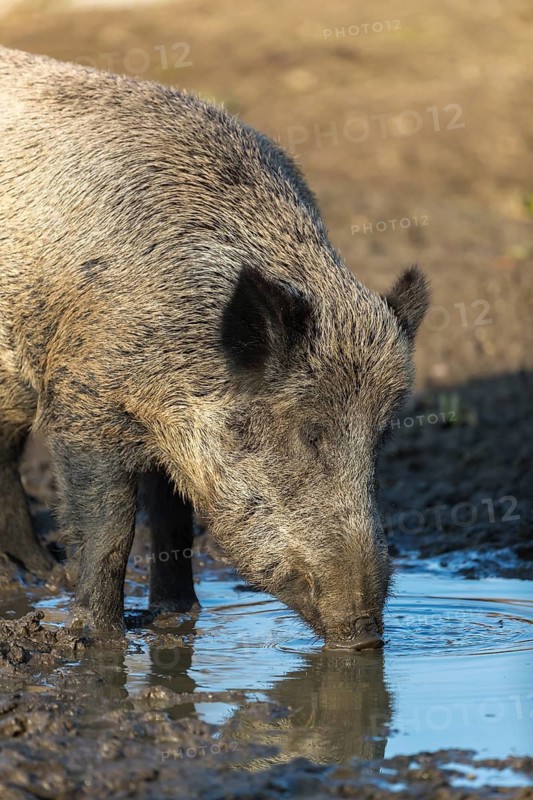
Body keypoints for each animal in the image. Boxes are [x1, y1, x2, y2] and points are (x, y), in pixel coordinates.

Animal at [0, 47, 429, 649]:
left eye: (381, 437)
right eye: (309, 433)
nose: (365, 635)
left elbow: (174, 520)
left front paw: (177, 618)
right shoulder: (84, 399)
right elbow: (112, 525)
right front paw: (99, 637)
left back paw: (36, 572)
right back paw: (39, 575)